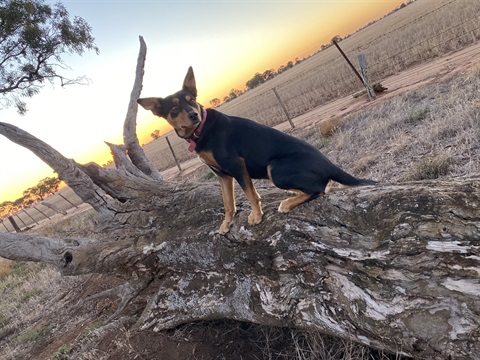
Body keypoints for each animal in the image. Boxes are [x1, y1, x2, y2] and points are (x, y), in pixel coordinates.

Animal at [137, 66, 376, 235]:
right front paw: (226, 224)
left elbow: (250, 194)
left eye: (192, 100)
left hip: (275, 169)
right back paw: (292, 193)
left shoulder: (236, 164)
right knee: (320, 187)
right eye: (174, 108)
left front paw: (256, 216)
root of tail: (328, 163)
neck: (201, 129)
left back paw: (287, 203)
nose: (194, 114)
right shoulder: (222, 175)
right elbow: (228, 203)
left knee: (319, 189)